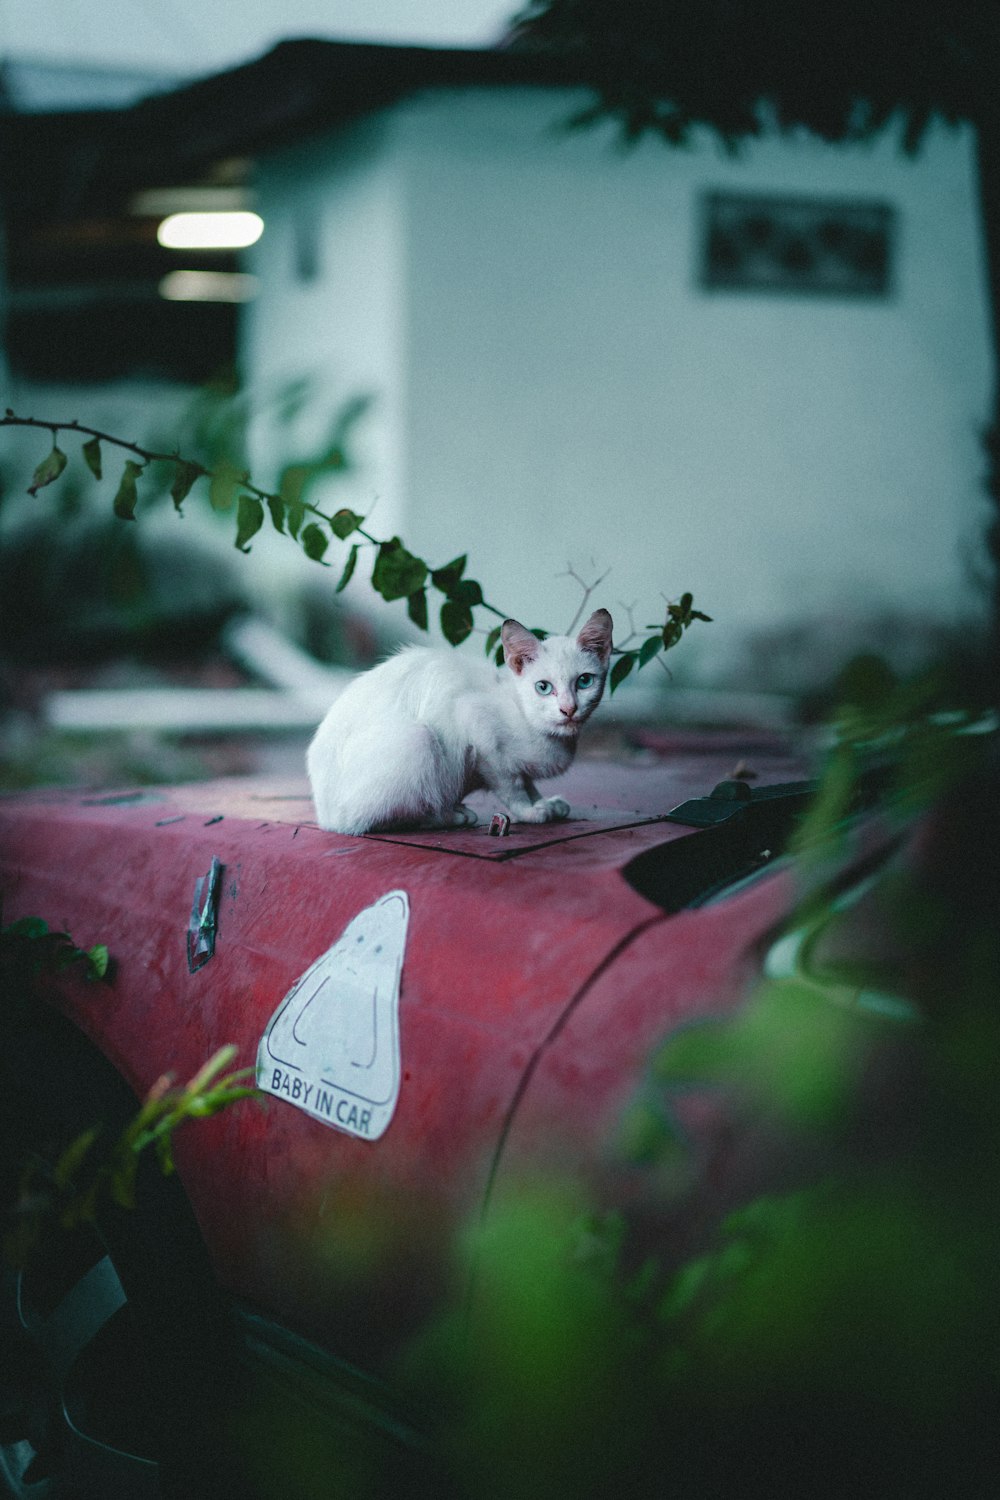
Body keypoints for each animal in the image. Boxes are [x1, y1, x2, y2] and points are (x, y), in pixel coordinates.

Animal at [308, 612, 614, 846]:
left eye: (584, 681)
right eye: (543, 687)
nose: (568, 709)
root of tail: (324, 814)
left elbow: (527, 780)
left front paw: (545, 803)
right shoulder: (478, 728)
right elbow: (511, 785)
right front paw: (529, 810)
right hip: (419, 740)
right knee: (366, 821)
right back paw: (449, 815)